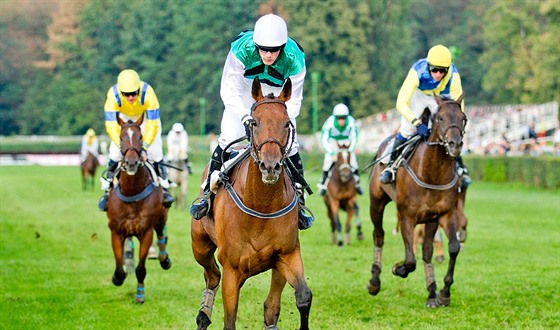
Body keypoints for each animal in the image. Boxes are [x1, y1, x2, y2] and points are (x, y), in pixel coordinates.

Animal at [106, 116, 172, 304]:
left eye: (141, 137)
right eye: (121, 138)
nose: (131, 163)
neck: (132, 192)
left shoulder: (146, 231)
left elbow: (141, 268)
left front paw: (139, 294)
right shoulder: (116, 231)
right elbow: (119, 267)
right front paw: (117, 277)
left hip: (161, 217)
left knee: (161, 234)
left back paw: (164, 258)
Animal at [191, 78, 316, 330]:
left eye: (286, 124)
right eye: (255, 123)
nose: (270, 166)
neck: (262, 205)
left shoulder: (287, 254)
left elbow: (302, 297)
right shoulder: (232, 269)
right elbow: (230, 320)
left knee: (270, 306)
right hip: (199, 245)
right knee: (212, 275)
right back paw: (203, 315)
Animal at [368, 94, 468, 308]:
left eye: (463, 118)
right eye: (440, 118)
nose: (454, 144)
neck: (431, 174)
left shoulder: (443, 215)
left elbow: (452, 248)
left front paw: (442, 293)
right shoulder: (407, 216)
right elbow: (410, 261)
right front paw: (398, 269)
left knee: (427, 250)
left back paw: (431, 292)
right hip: (376, 203)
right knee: (379, 235)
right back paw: (374, 282)